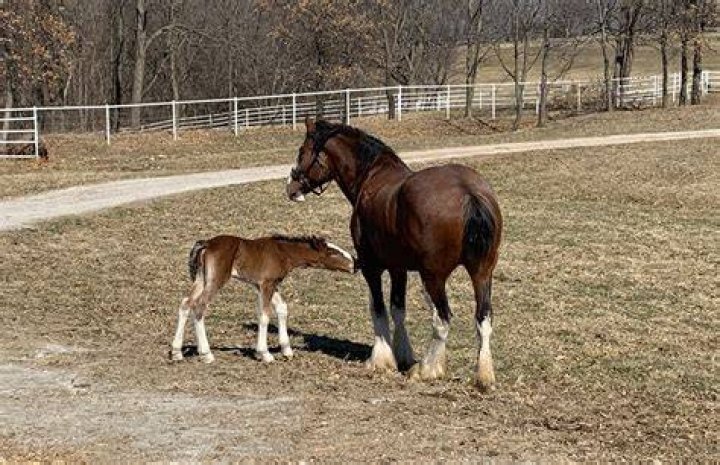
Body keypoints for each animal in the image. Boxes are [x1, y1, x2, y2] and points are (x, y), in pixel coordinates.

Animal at [170, 234, 354, 364]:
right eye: (333, 252)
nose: (355, 262)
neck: (282, 252)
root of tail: (206, 243)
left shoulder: (266, 285)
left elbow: (282, 308)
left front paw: (286, 350)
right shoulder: (266, 284)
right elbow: (264, 315)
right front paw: (264, 354)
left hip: (201, 279)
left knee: (186, 303)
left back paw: (177, 352)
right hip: (216, 279)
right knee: (199, 306)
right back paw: (206, 354)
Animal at [286, 118, 502, 390]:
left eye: (301, 151)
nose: (291, 188)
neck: (372, 176)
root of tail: (468, 193)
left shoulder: (371, 267)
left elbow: (378, 308)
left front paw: (381, 358)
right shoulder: (399, 268)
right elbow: (398, 308)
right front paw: (403, 354)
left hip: (433, 277)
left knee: (442, 319)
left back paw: (427, 369)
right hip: (482, 273)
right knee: (483, 319)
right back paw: (484, 375)